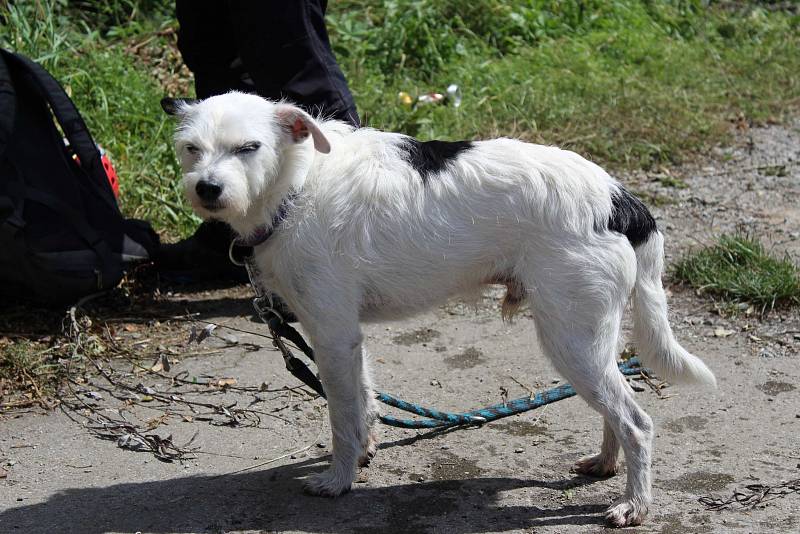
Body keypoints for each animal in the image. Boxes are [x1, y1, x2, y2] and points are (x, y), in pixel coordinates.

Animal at [161, 91, 712, 528]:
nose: (207, 188)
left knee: (637, 422)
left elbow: (341, 416)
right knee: (617, 411)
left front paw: (338, 479)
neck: (296, 184)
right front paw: (364, 451)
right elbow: (363, 401)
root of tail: (620, 200)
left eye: (248, 148)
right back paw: (604, 464)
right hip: (593, 338)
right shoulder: (348, 338)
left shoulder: (331, 335)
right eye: (192, 149)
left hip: (570, 342)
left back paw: (634, 505)